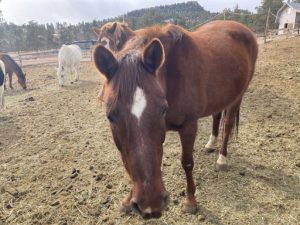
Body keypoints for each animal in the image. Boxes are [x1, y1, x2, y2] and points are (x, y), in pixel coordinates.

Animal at [93, 20, 258, 218]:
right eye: (110, 116)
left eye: (163, 109)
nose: (151, 205)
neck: (171, 74)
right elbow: (130, 164)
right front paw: (127, 200)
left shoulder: (189, 126)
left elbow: (187, 162)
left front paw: (190, 201)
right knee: (216, 115)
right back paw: (210, 144)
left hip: (237, 97)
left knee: (227, 125)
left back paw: (222, 159)